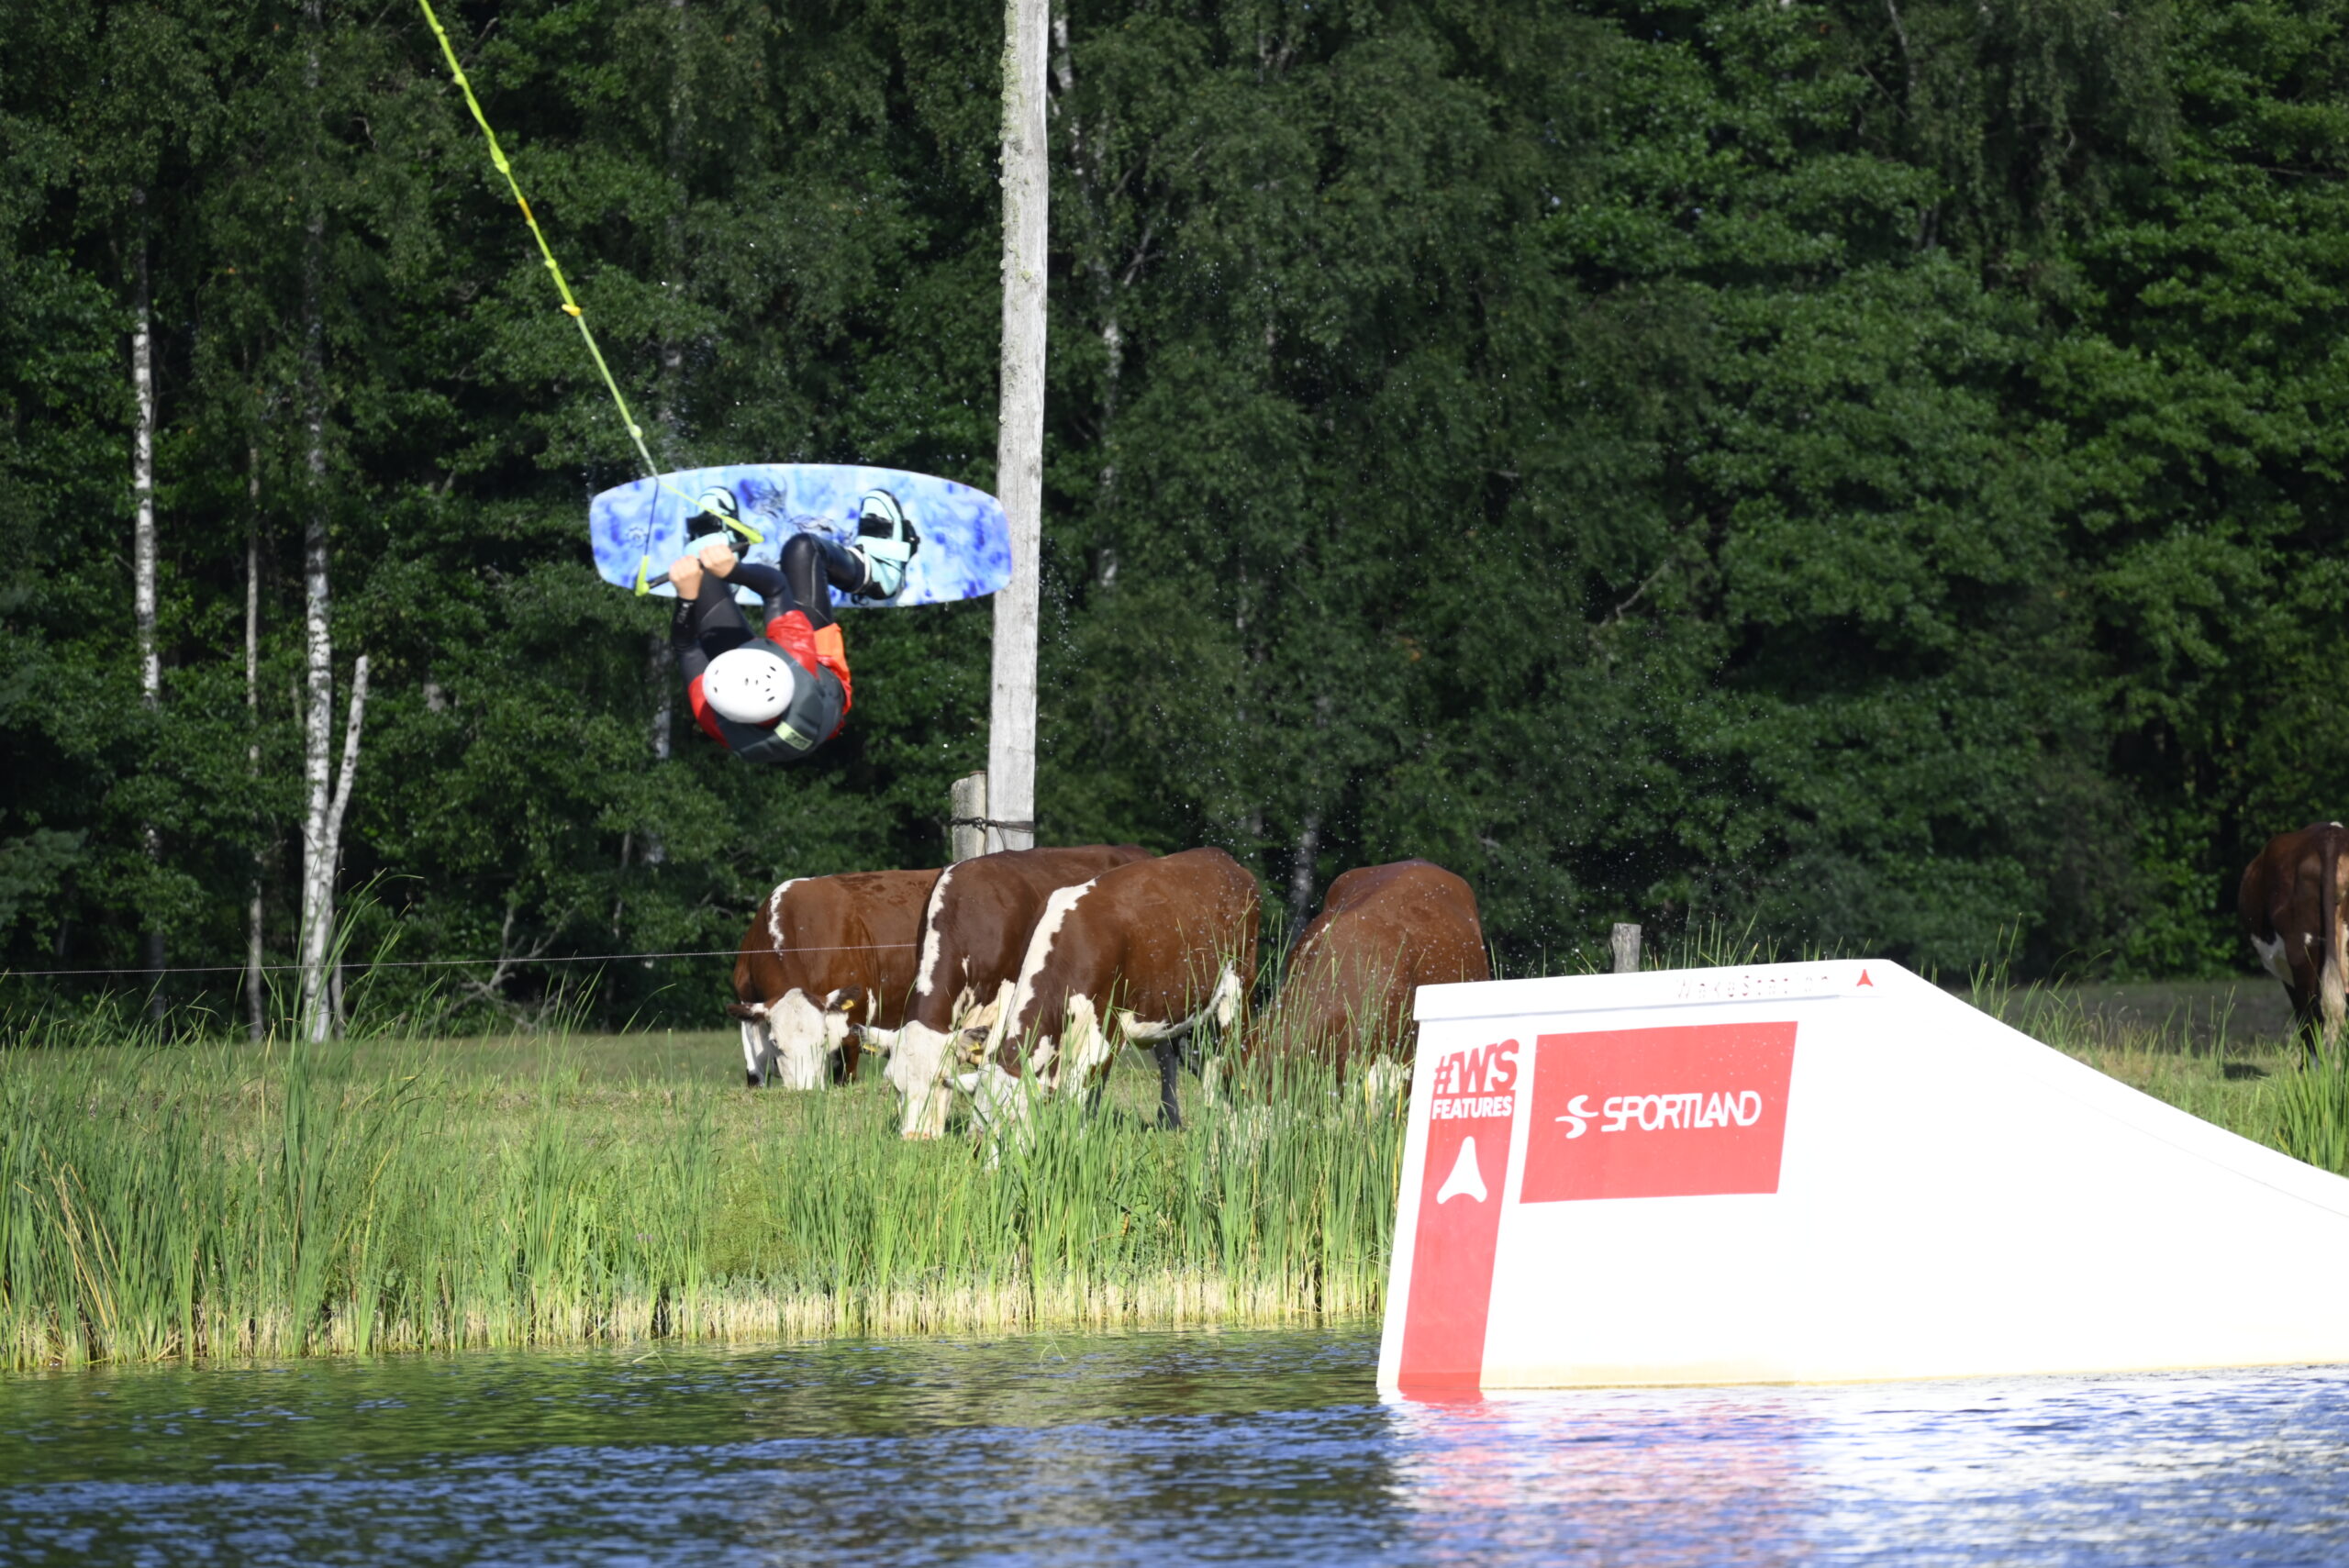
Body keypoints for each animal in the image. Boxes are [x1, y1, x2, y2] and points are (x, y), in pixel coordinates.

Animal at [958, 850, 1259, 1131]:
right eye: (976, 1122)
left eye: (1011, 1121)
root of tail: (1220, 857)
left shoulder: (1103, 1034)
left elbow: (1077, 1097)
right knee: (1193, 1062)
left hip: (1239, 991)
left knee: (1233, 1060)